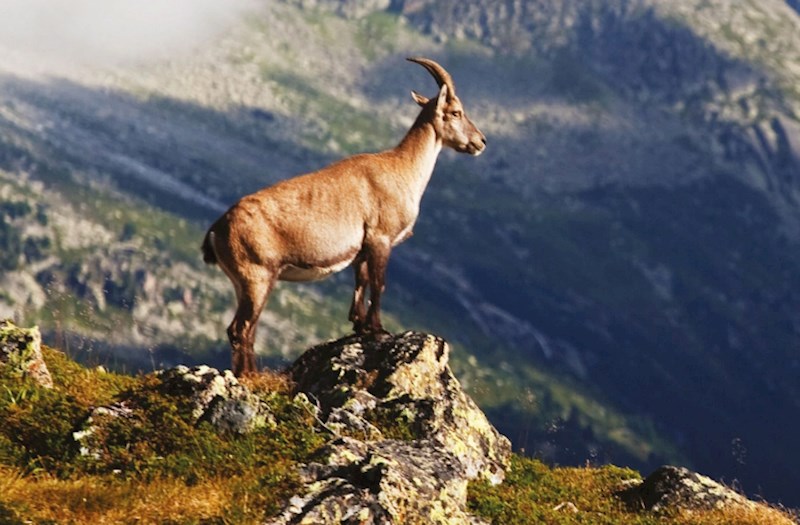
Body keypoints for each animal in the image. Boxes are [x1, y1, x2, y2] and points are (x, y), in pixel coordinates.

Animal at [203, 57, 484, 374]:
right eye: (456, 112)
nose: (481, 141)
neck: (402, 169)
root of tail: (216, 230)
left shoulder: (361, 249)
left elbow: (360, 283)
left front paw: (360, 326)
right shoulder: (380, 239)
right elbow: (379, 283)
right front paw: (378, 329)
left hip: (244, 283)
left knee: (244, 330)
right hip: (257, 277)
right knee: (241, 329)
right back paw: (250, 376)